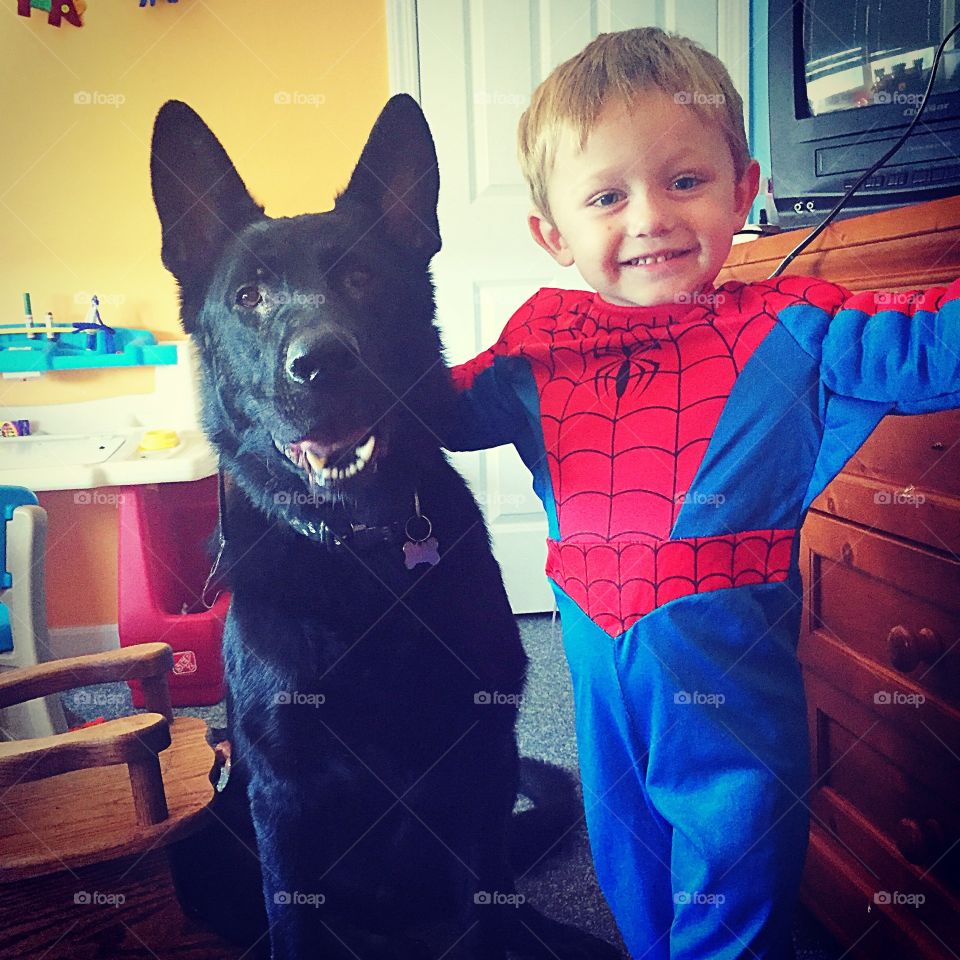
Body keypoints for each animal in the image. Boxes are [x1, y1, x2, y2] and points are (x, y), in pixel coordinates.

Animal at [149, 95, 616, 960]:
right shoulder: (282, 800)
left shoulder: (481, 765)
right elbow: (293, 923)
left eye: (363, 278)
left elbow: (484, 916)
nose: (322, 362)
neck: (360, 559)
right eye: (249, 297)